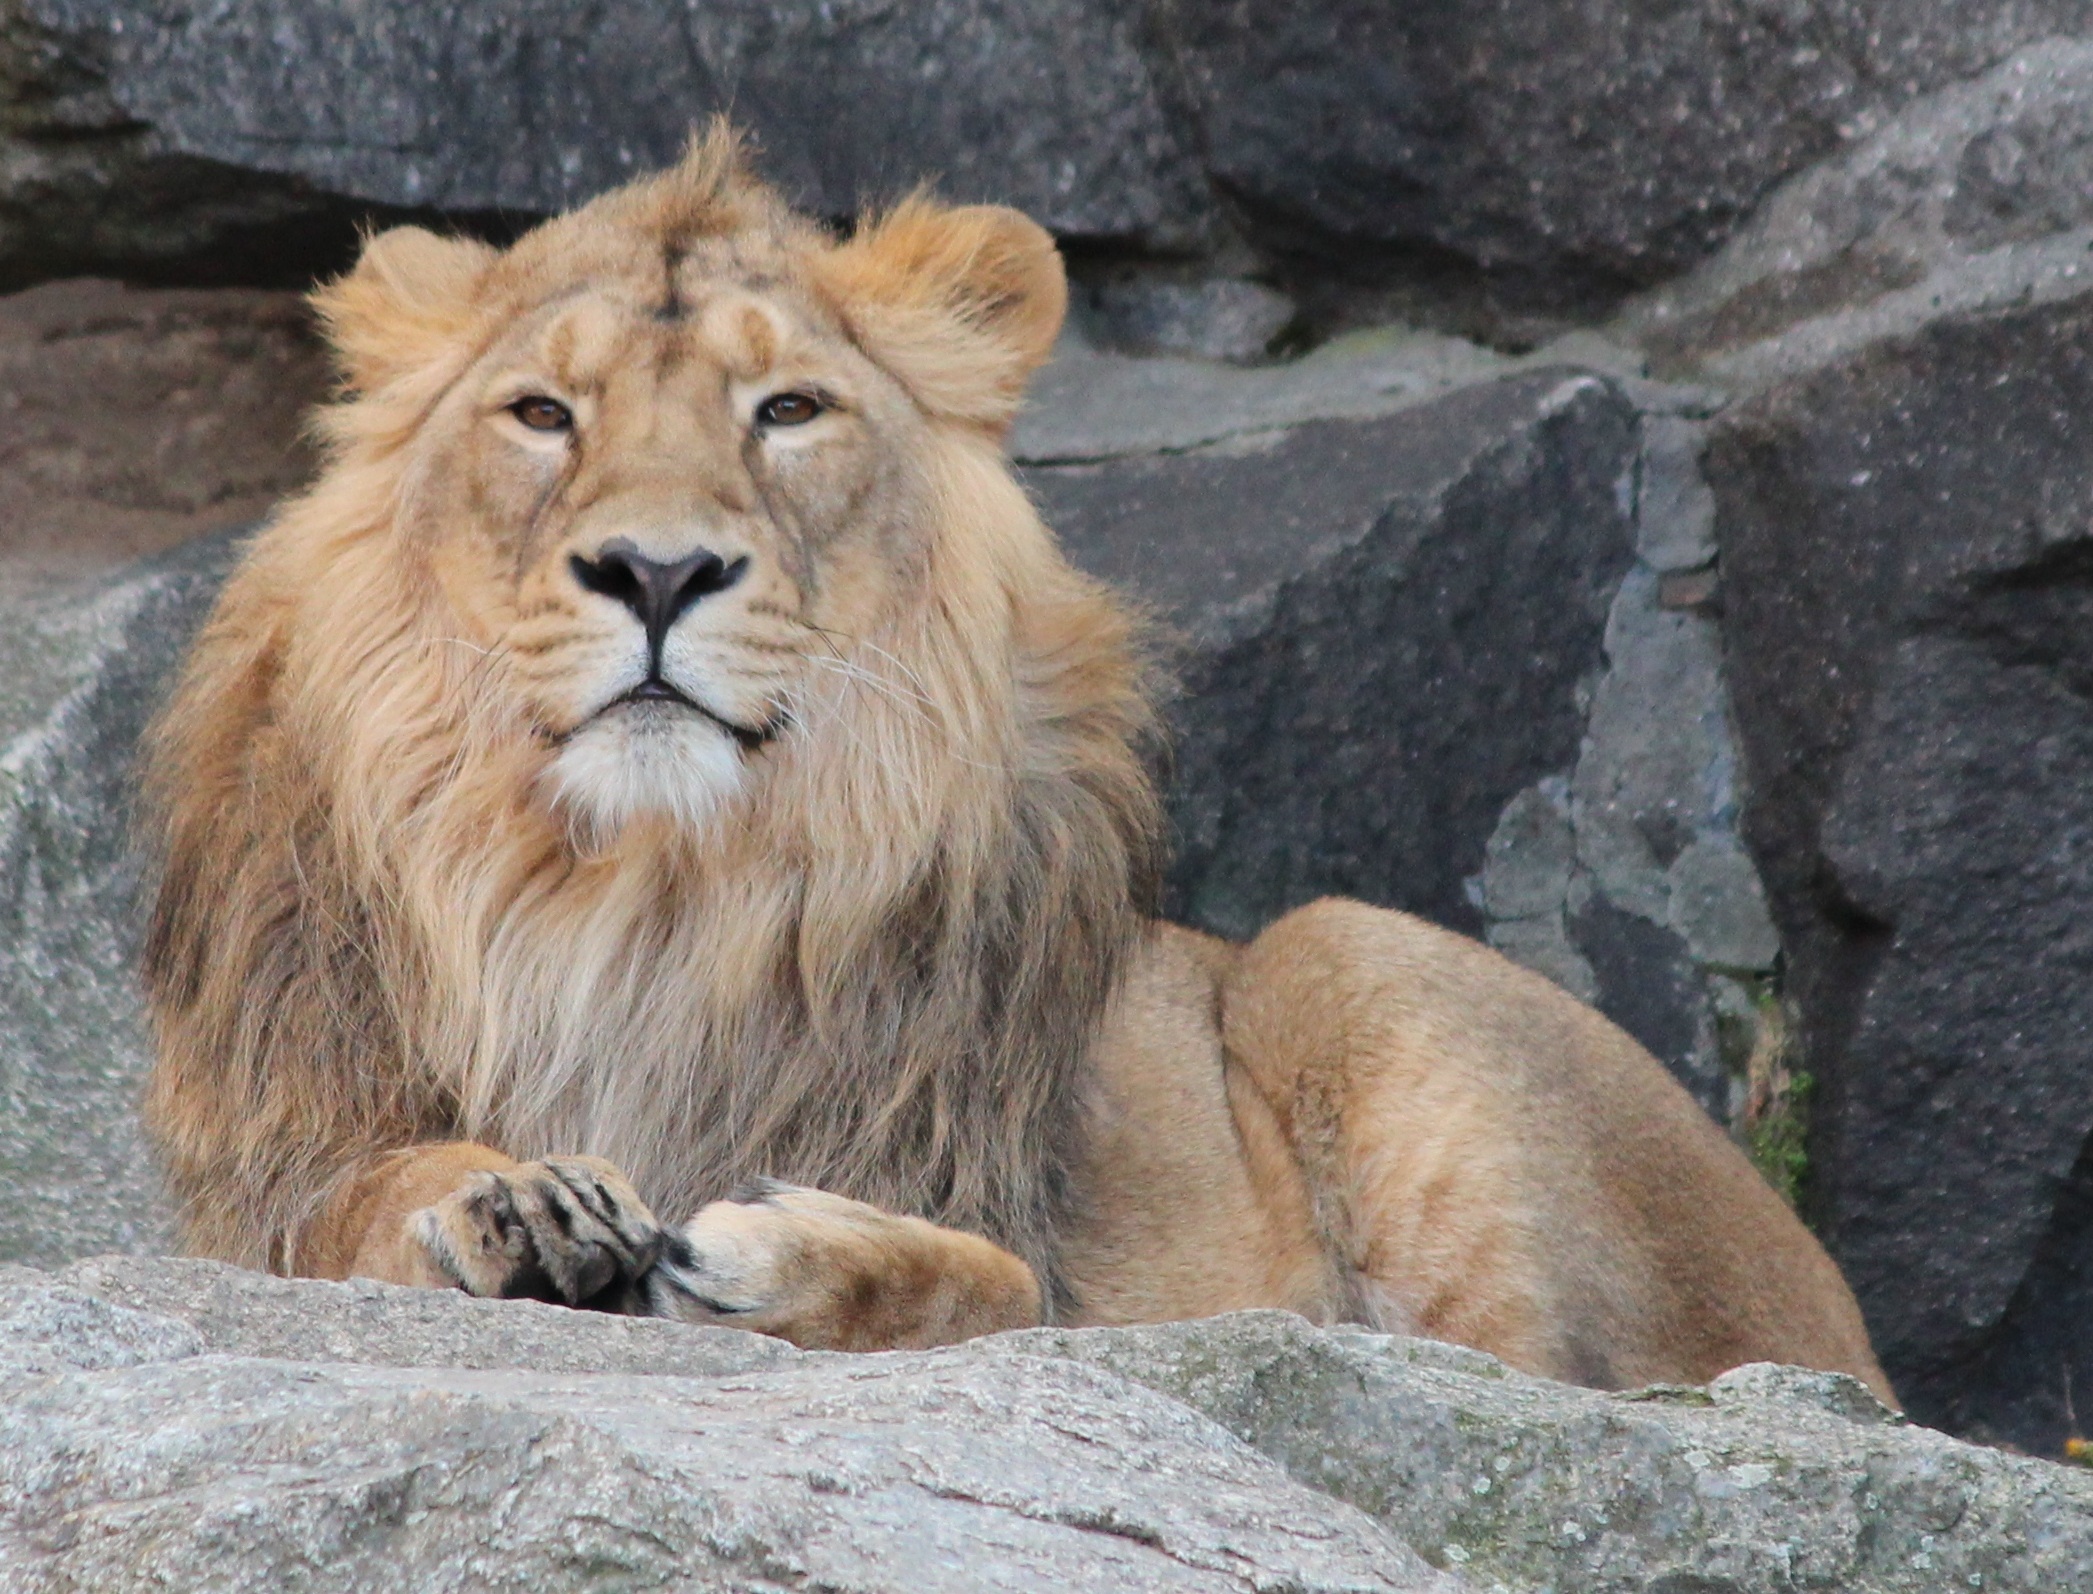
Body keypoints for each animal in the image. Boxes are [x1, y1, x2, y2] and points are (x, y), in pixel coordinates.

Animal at [134, 130, 1900, 1397]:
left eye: (788, 409)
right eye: (541, 413)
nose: (656, 569)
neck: (643, 893)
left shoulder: (1041, 1251)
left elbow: (1000, 1284)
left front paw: (796, 1254)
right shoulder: (278, 1170)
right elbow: (359, 1199)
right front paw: (521, 1207)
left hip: (1347, 958)